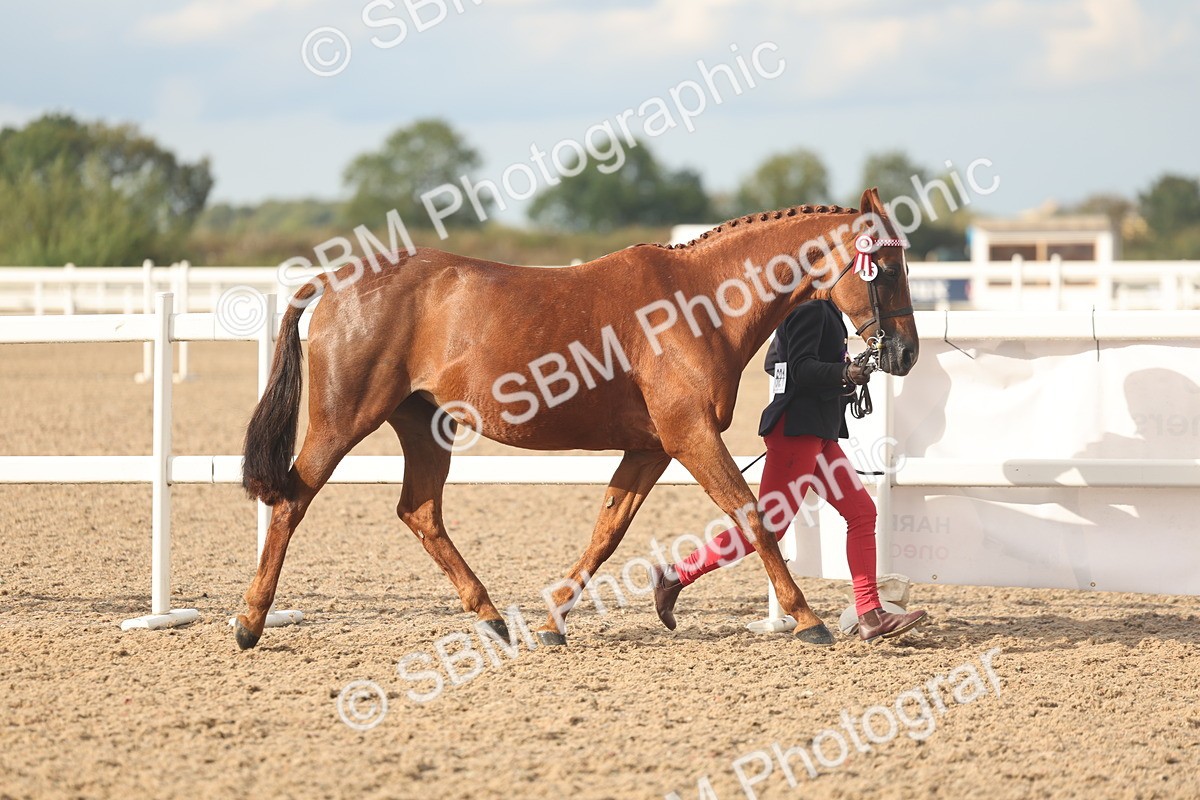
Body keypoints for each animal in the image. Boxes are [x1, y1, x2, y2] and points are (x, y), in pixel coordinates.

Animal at [233, 187, 917, 650]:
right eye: (885, 267)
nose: (905, 354)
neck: (700, 303)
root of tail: (335, 279)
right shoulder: (690, 437)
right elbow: (752, 514)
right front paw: (808, 619)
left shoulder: (653, 448)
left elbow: (608, 529)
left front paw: (553, 621)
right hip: (342, 419)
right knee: (292, 501)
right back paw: (250, 622)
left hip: (424, 425)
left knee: (419, 512)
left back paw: (492, 618)